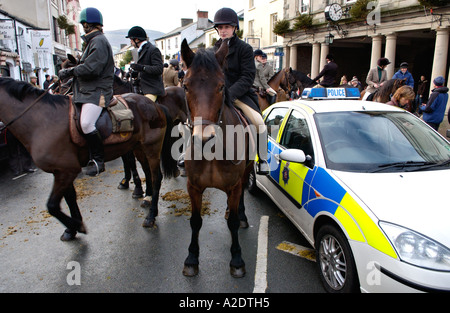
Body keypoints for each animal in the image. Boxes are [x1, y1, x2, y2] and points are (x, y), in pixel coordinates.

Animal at [0, 77, 179, 240]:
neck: (43, 121)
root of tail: (155, 105)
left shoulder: (67, 171)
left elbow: (52, 205)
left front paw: (76, 225)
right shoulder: (62, 170)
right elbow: (70, 198)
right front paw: (72, 228)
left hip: (151, 148)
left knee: (156, 178)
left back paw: (151, 216)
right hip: (138, 148)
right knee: (147, 172)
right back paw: (147, 199)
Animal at [180, 38, 253, 276]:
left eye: (222, 86)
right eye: (185, 86)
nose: (204, 138)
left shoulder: (235, 185)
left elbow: (233, 223)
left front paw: (237, 259)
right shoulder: (193, 187)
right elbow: (195, 221)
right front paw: (191, 258)